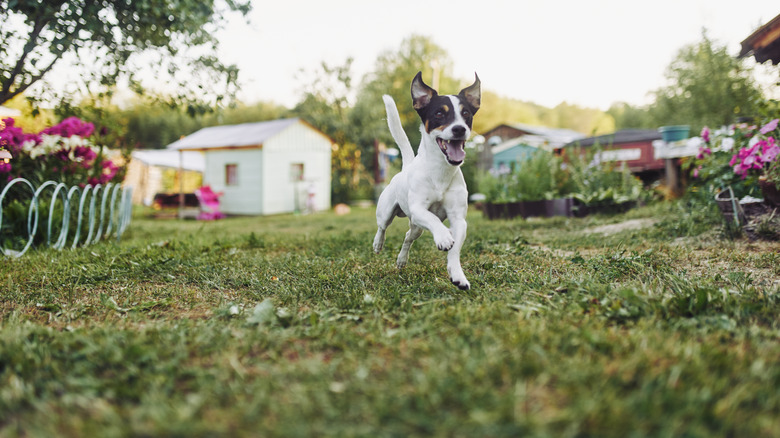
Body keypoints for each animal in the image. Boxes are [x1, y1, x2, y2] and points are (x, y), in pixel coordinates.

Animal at [374, 72, 478, 290]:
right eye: (439, 113)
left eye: (466, 114)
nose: (459, 129)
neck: (440, 172)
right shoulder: (418, 209)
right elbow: (434, 219)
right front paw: (443, 236)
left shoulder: (459, 220)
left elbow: (455, 250)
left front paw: (458, 276)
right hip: (387, 211)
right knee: (382, 226)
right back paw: (378, 244)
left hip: (417, 228)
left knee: (408, 237)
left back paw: (402, 260)